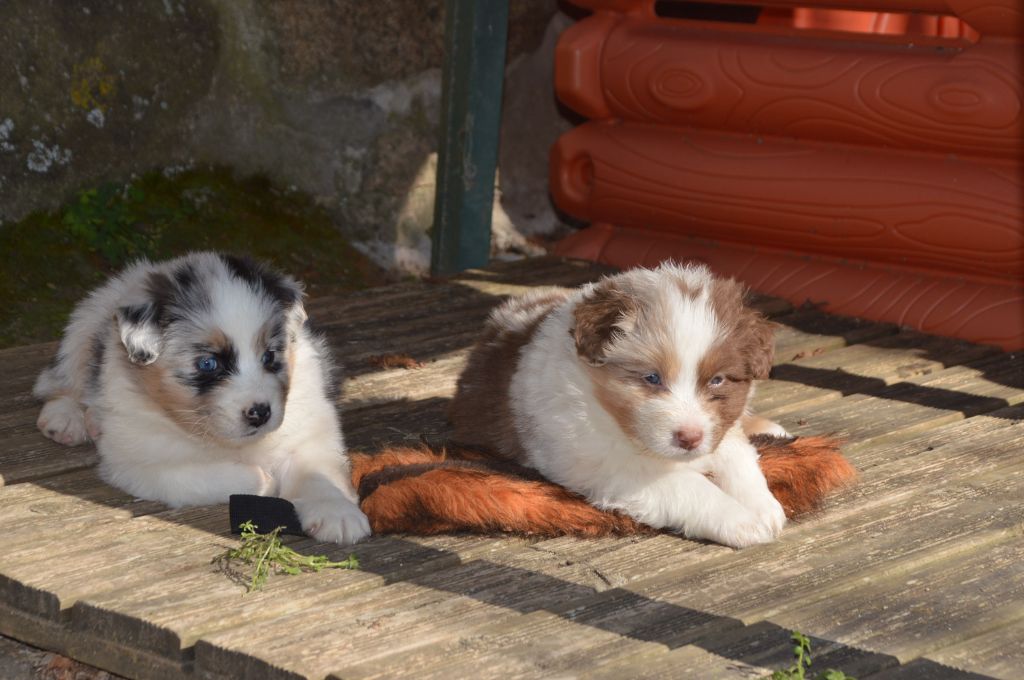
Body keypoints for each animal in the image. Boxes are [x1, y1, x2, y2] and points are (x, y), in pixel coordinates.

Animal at [37, 251, 372, 544]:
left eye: (269, 356)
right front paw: (265, 479)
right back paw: (67, 418)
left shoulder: (310, 430)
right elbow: (208, 476)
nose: (260, 413)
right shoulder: (138, 463)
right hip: (86, 322)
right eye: (208, 364)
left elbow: (318, 473)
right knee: (62, 379)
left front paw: (337, 513)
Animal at [452, 260, 786, 548]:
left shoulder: (722, 428)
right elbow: (688, 485)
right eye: (652, 378)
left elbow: (738, 457)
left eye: (717, 380)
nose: (689, 439)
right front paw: (740, 520)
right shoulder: (614, 468)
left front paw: (763, 506)